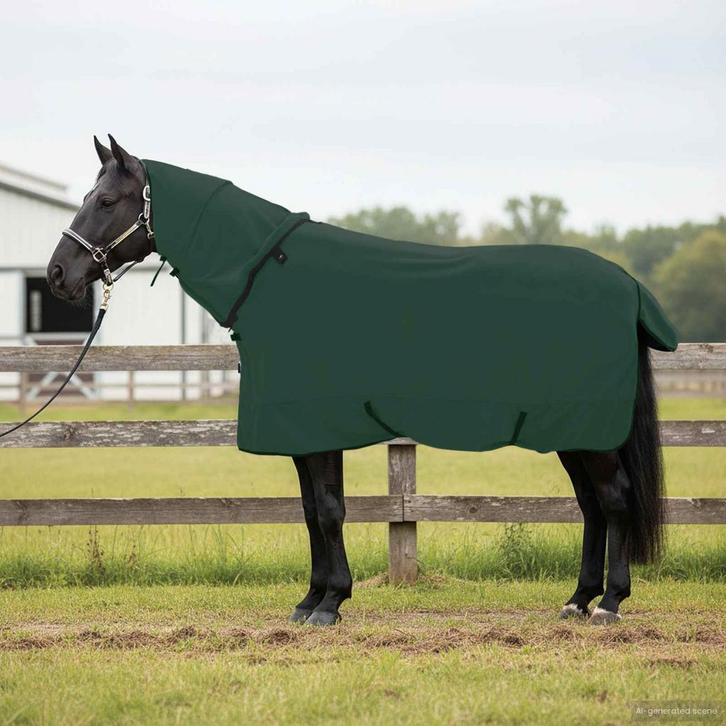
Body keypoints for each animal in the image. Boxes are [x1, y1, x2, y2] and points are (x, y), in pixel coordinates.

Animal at [46, 135, 669, 626]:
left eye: (105, 200)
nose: (57, 275)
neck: (272, 277)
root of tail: (628, 285)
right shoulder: (300, 433)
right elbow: (309, 511)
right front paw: (309, 601)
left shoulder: (319, 428)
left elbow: (329, 510)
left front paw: (330, 604)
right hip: (572, 432)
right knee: (591, 505)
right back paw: (577, 600)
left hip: (590, 432)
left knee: (614, 500)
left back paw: (609, 603)